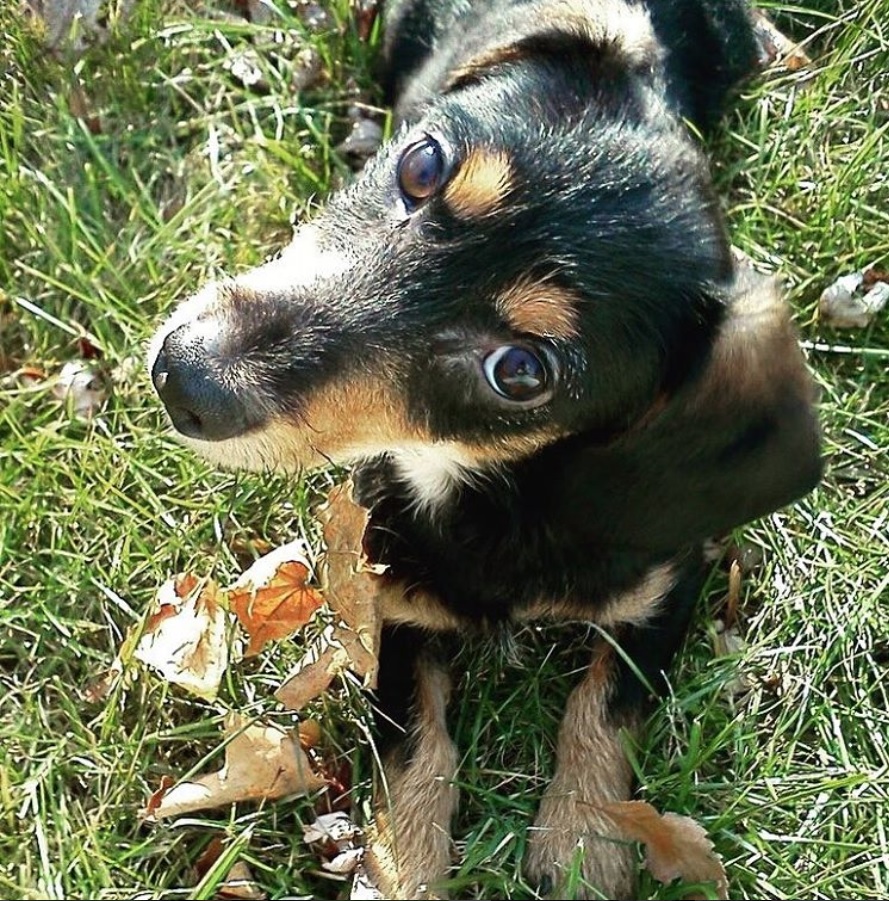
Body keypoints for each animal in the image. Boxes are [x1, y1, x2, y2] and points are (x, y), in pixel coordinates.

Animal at [149, 3, 824, 896]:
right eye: (422, 163)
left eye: (520, 372)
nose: (180, 375)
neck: (487, 488)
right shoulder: (392, 599)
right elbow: (414, 748)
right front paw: (403, 867)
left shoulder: (664, 588)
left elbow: (603, 706)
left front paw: (581, 843)